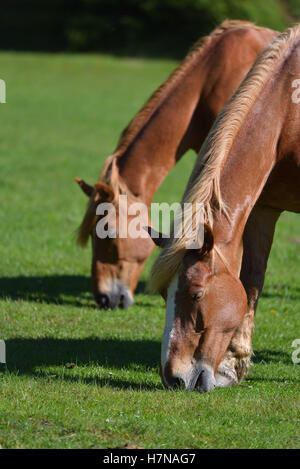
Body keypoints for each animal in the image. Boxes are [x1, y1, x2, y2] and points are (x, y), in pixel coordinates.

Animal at [151, 24, 300, 392]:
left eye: (196, 295)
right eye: (163, 295)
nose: (173, 377)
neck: (290, 114)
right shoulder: (264, 209)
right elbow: (252, 282)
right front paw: (233, 365)